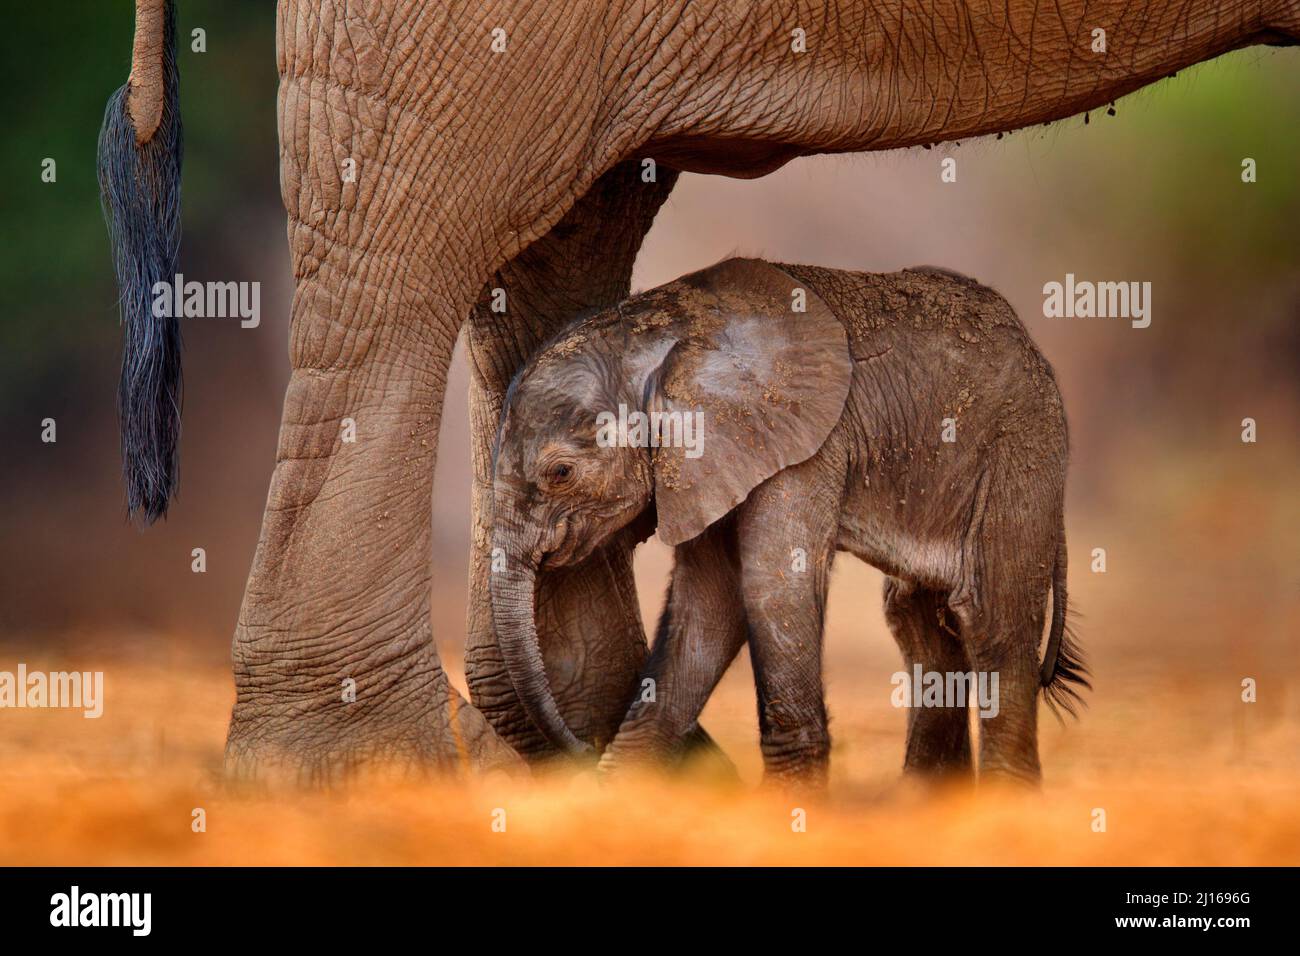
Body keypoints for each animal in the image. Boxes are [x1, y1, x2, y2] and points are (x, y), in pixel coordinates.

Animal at [487, 257, 1085, 785]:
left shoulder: (804, 443)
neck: (659, 332)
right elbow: (708, 605)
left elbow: (770, 587)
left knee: (991, 615)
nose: (578, 749)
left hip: (1019, 446)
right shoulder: (707, 463)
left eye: (561, 472)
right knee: (917, 619)